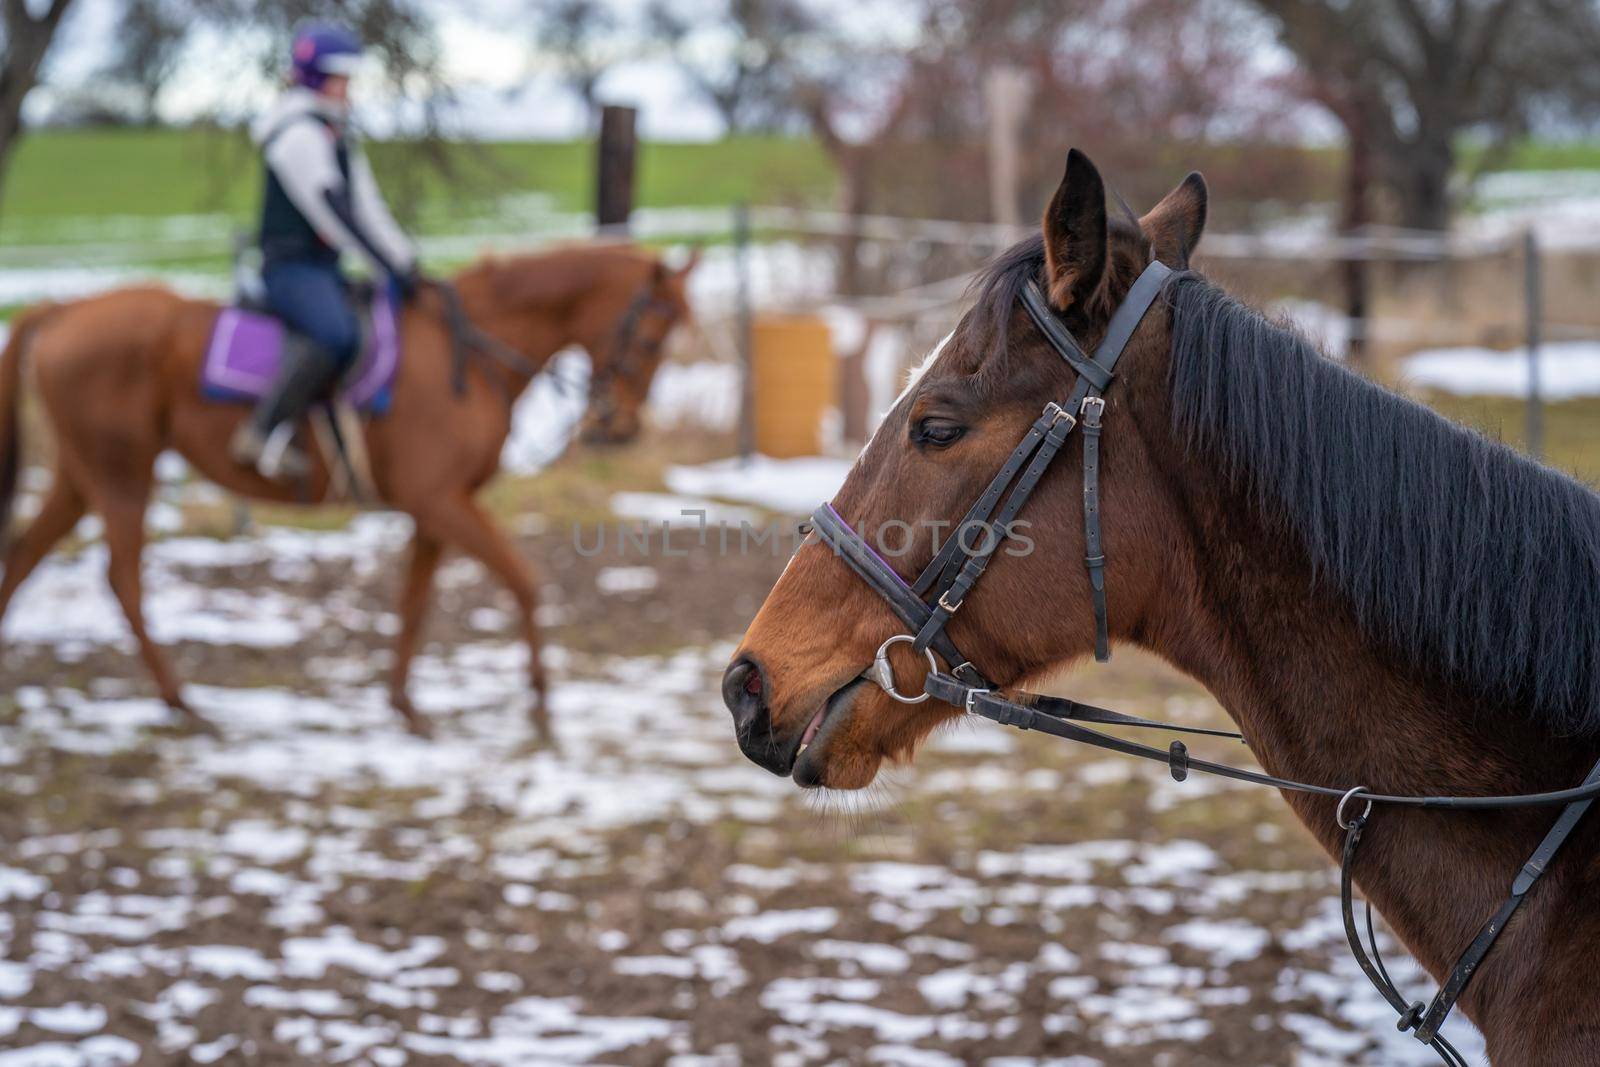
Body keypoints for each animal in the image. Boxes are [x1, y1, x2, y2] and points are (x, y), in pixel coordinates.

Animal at [3, 239, 697, 742]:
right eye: (652, 337)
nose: (621, 427)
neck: (470, 358)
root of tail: (63, 309)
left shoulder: (434, 511)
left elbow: (415, 602)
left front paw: (405, 706)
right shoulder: (442, 502)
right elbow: (524, 581)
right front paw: (539, 697)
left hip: (81, 477)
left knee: (24, 558)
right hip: (122, 475)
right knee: (121, 578)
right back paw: (179, 700)